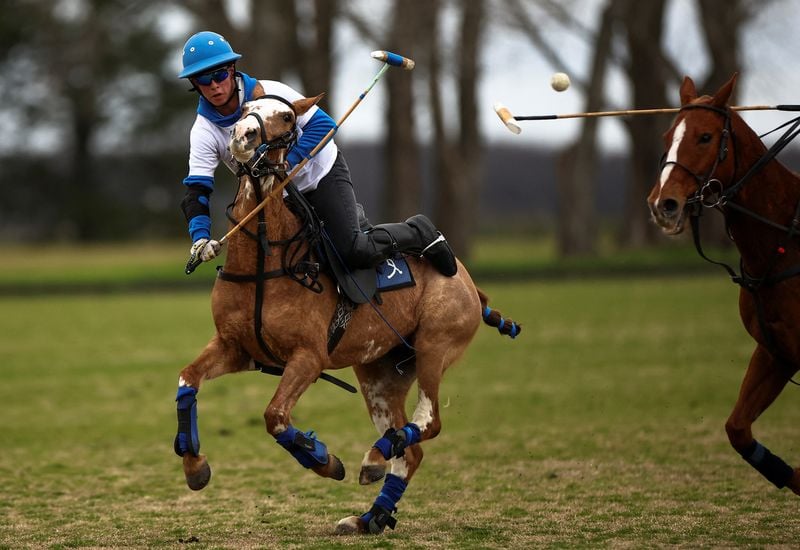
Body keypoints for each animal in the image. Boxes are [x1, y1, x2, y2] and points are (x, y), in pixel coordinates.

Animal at [173, 93, 521, 534]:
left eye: (286, 116)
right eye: (245, 110)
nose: (243, 136)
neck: (264, 264)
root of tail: (469, 281)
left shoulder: (308, 357)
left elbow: (275, 416)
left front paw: (323, 459)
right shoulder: (236, 348)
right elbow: (187, 380)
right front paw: (195, 467)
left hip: (435, 348)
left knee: (429, 422)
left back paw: (373, 458)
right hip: (380, 374)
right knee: (411, 450)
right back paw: (369, 516)